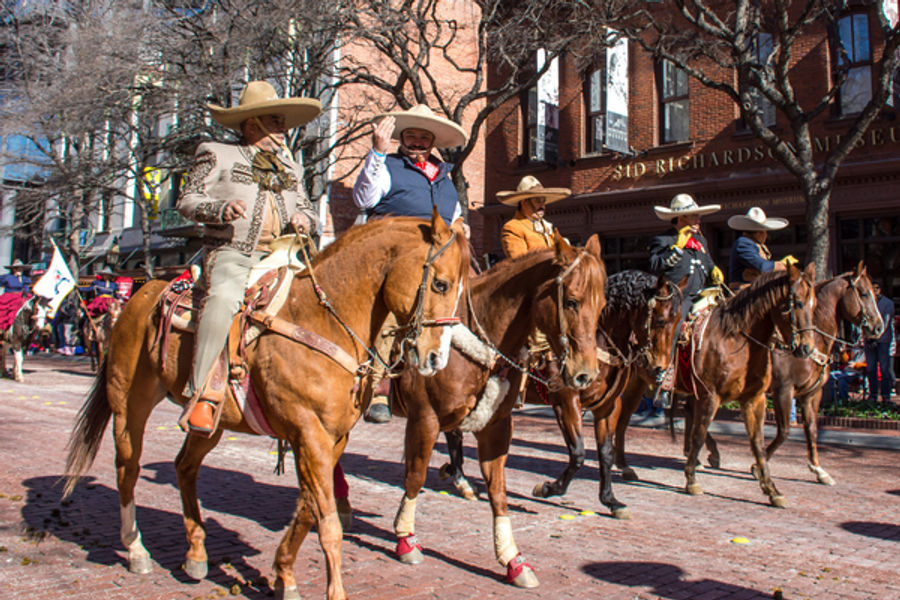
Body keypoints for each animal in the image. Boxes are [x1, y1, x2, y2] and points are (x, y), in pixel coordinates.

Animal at [64, 212, 472, 600]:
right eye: (440, 284)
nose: (436, 358)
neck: (324, 319)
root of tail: (141, 293)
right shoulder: (309, 434)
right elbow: (327, 522)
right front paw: (333, 591)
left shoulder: (330, 438)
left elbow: (309, 510)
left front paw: (283, 575)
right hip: (128, 403)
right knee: (127, 469)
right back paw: (136, 550)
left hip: (211, 424)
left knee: (184, 467)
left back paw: (196, 554)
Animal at [386, 232, 604, 588]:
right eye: (571, 301)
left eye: (602, 306)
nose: (586, 374)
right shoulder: (424, 418)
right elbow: (415, 477)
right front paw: (406, 540)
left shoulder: (497, 426)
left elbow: (498, 492)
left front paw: (513, 560)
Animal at [680, 264, 820, 506]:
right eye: (798, 302)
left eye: (815, 304)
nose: (807, 349)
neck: (735, 338)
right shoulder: (710, 395)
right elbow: (699, 432)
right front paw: (691, 480)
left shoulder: (754, 398)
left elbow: (758, 443)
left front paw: (771, 488)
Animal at [696, 264, 880, 488]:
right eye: (864, 293)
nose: (879, 327)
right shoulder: (783, 389)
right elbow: (784, 431)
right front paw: (757, 467)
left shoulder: (812, 393)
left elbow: (812, 429)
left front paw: (818, 469)